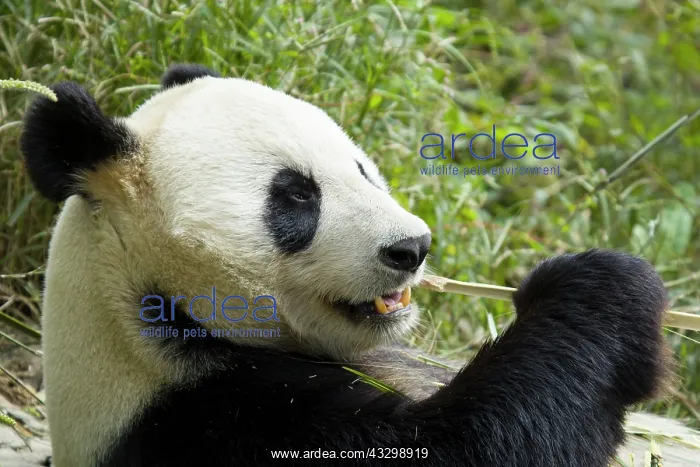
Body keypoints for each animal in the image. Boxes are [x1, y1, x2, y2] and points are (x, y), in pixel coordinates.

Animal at [20, 63, 671, 467]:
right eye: (295, 196)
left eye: (361, 169)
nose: (412, 247)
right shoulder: (206, 422)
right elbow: (469, 443)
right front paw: (599, 287)